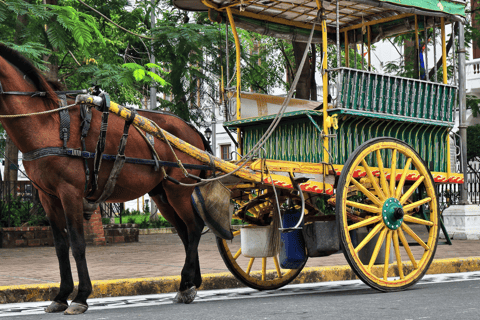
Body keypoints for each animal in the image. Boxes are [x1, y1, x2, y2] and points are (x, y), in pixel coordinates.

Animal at [0, 43, 208, 314]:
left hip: (179, 191)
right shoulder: (48, 197)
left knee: (194, 227)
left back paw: (186, 281)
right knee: (184, 231)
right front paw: (61, 295)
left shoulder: (70, 192)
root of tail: (192, 130)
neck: (47, 122)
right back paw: (189, 283)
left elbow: (78, 243)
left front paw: (80, 296)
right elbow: (60, 246)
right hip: (162, 193)